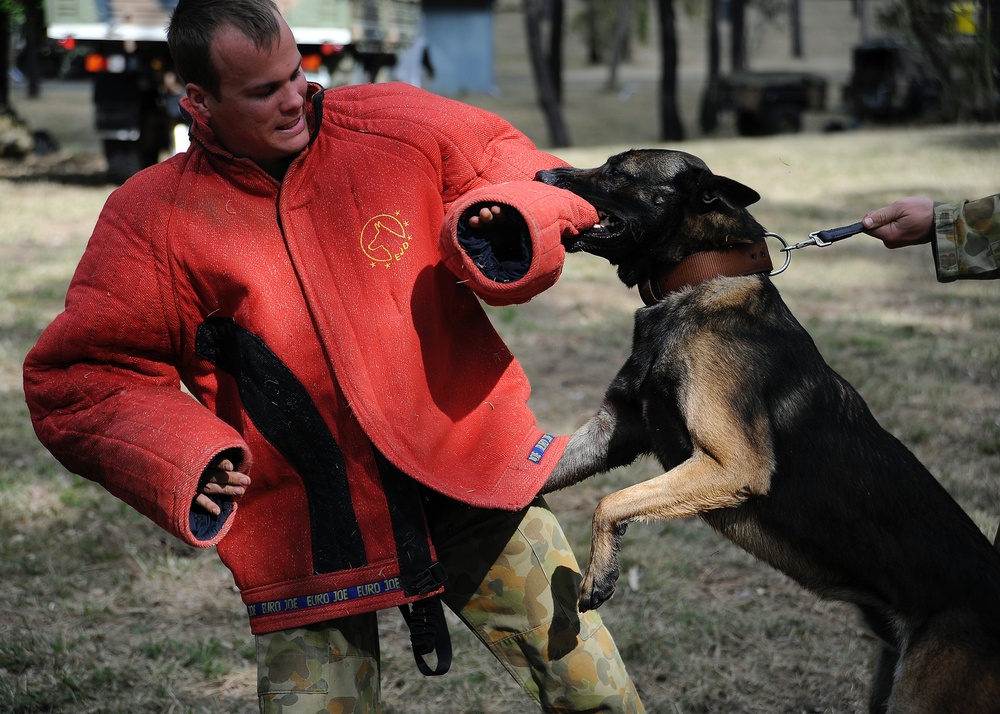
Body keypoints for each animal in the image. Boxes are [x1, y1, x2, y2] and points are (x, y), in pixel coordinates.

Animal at [536, 149, 1000, 708]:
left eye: (617, 170)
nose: (541, 175)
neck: (701, 276)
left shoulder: (732, 465)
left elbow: (609, 502)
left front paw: (599, 574)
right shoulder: (615, 429)